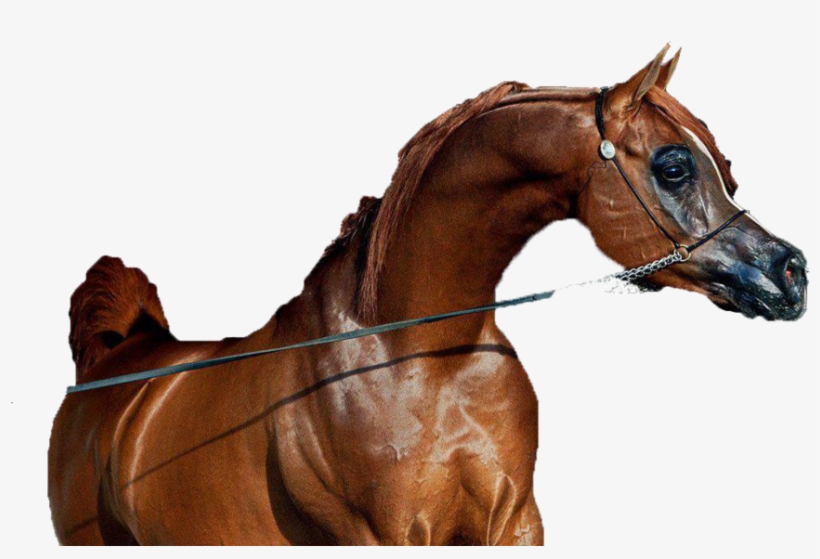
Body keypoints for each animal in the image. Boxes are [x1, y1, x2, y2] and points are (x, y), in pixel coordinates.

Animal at [48, 46, 807, 545]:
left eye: (723, 163)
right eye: (674, 165)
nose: (790, 272)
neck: (421, 356)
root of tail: (114, 363)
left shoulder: (513, 523)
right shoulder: (386, 533)